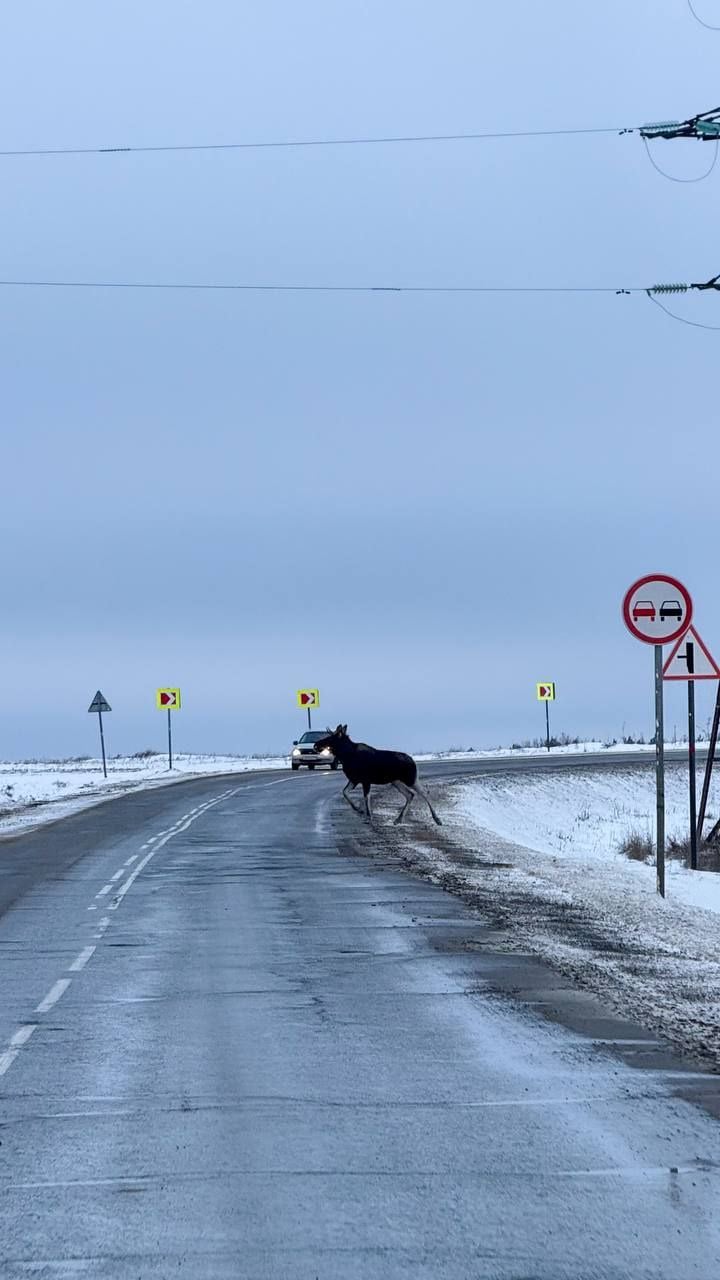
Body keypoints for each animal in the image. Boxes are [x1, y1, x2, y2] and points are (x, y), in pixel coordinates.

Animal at [311, 727, 440, 824]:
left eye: (330, 737)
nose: (315, 745)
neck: (346, 756)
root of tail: (413, 761)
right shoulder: (354, 780)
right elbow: (345, 792)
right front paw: (359, 809)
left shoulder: (365, 780)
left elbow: (366, 797)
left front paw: (368, 816)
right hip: (396, 781)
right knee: (410, 794)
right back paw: (398, 819)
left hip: (410, 779)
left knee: (424, 792)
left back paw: (437, 819)